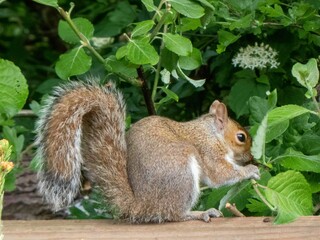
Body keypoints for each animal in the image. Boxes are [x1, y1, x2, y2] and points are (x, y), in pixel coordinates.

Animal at [35, 80, 260, 223]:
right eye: (241, 137)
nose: (252, 158)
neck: (211, 133)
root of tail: (142, 205)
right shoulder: (208, 151)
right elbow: (220, 174)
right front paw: (250, 171)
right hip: (181, 171)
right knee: (172, 214)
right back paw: (198, 213)